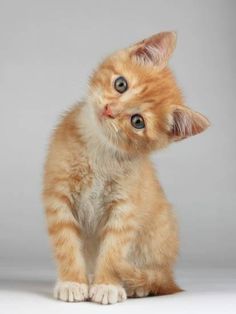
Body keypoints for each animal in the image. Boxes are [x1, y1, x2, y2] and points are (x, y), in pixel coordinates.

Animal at [42, 31, 210, 304]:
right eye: (121, 84)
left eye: (137, 121)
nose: (110, 110)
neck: (99, 149)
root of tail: (169, 275)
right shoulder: (59, 195)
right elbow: (65, 242)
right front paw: (72, 281)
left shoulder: (125, 207)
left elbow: (113, 250)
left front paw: (107, 285)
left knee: (155, 279)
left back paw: (136, 285)